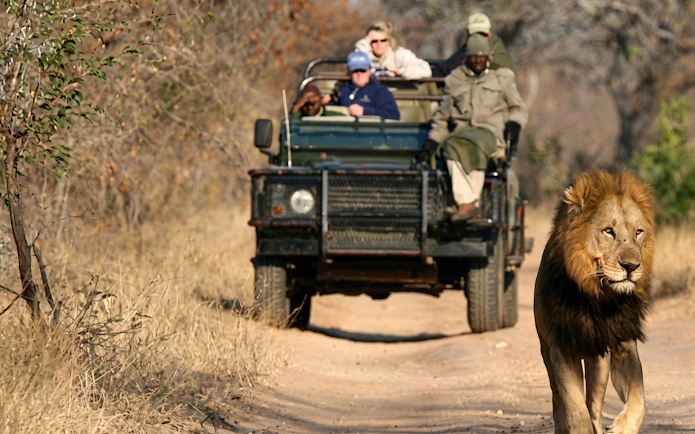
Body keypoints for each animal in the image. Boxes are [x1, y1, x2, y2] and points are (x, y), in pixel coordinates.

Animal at [534, 167, 655, 434]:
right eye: (608, 231)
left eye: (638, 232)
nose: (631, 266)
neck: (598, 298)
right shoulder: (561, 348)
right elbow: (574, 409)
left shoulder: (622, 342)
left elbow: (639, 399)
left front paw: (622, 427)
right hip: (547, 353)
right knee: (559, 401)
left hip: (599, 362)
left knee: (594, 407)